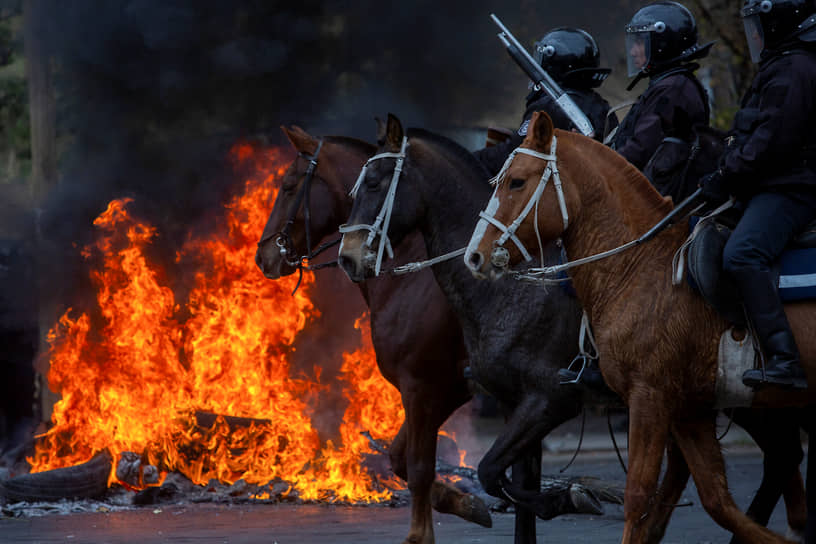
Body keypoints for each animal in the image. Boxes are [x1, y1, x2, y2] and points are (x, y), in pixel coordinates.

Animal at [255, 127, 488, 544]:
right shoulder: (448, 387)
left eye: (288, 185)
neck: (412, 268)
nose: (263, 256)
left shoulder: (422, 385)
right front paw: (464, 503)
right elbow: (399, 458)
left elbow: (418, 465)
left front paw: (420, 533)